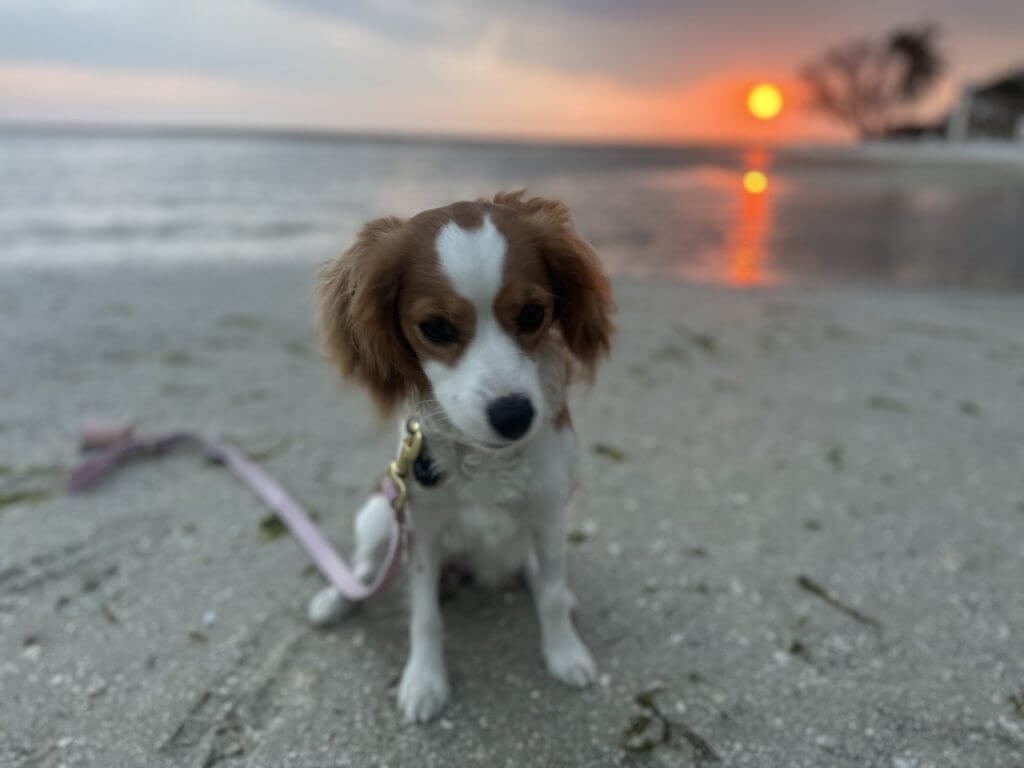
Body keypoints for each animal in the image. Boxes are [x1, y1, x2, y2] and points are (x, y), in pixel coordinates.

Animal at [307, 191, 610, 720]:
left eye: (533, 314)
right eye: (436, 327)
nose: (514, 415)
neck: (486, 459)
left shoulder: (549, 516)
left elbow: (551, 595)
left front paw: (564, 653)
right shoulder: (422, 532)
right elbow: (424, 614)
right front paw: (425, 680)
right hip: (380, 514)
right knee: (365, 567)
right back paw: (336, 598)